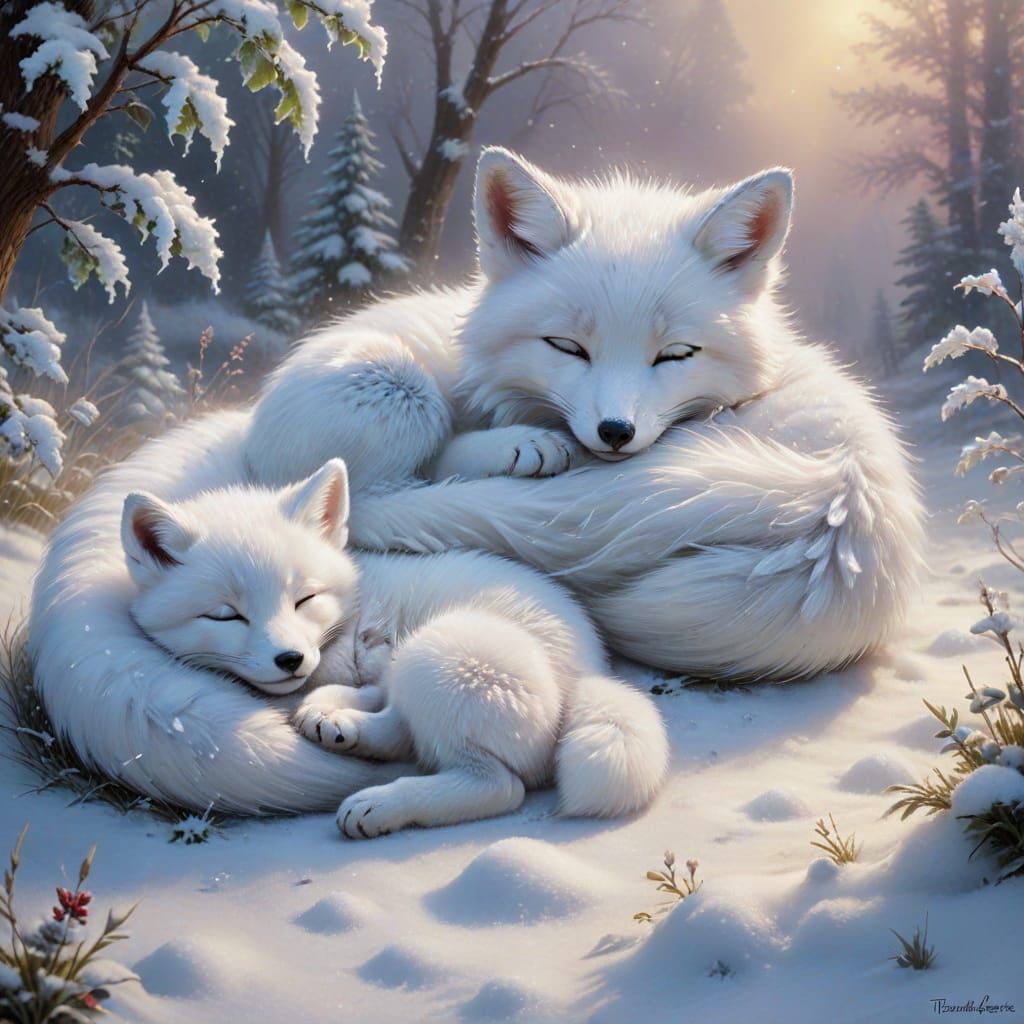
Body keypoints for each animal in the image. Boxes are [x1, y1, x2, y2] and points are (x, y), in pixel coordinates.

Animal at [28, 416, 666, 821]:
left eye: (303, 599)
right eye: (227, 615)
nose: (290, 659)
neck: (353, 615)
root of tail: (588, 675)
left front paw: (327, 699)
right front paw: (329, 705)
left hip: (442, 655)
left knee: (495, 784)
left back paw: (377, 802)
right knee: (406, 732)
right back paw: (341, 728)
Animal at [241, 148, 924, 682]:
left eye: (676, 353)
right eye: (567, 346)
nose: (615, 432)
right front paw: (519, 444)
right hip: (395, 383)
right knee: (380, 492)